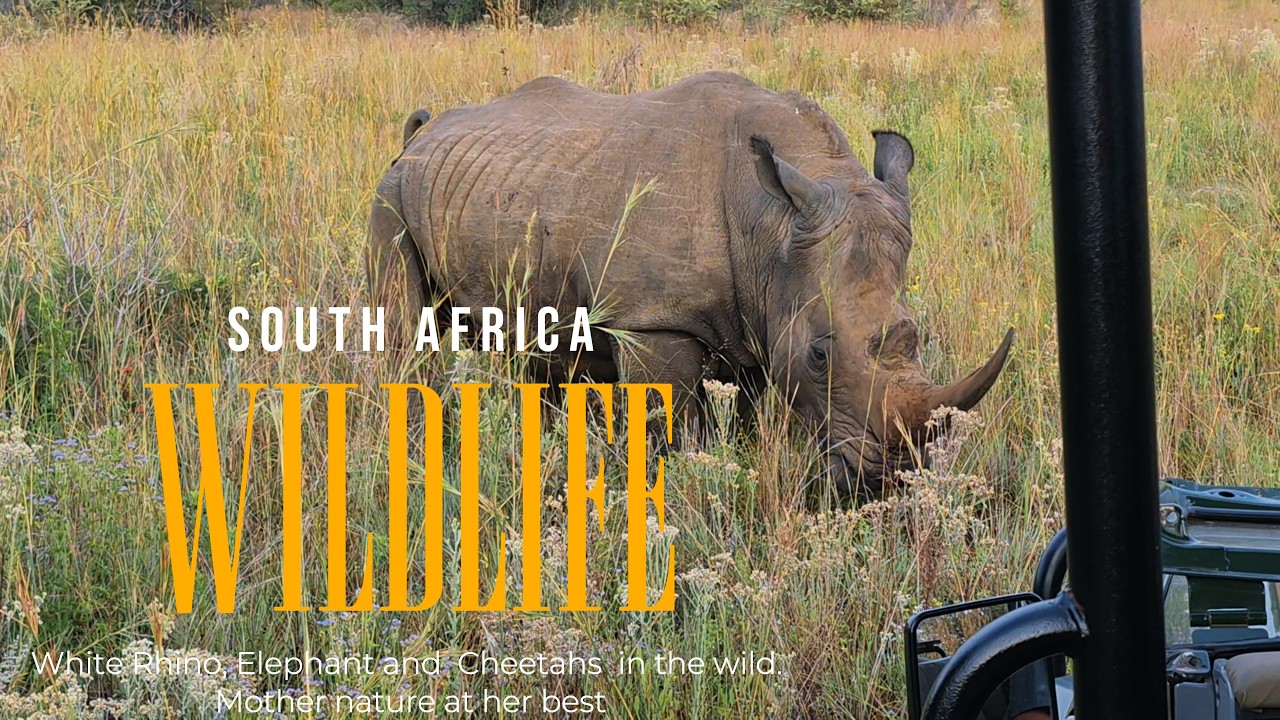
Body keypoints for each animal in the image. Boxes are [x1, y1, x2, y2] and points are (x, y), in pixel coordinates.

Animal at [367, 71, 1013, 492]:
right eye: (821, 355)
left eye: (917, 336)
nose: (887, 479)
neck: (773, 225)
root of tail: (419, 135)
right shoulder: (653, 320)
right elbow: (670, 428)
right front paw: (674, 491)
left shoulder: (761, 314)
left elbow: (751, 416)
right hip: (392, 192)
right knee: (404, 328)